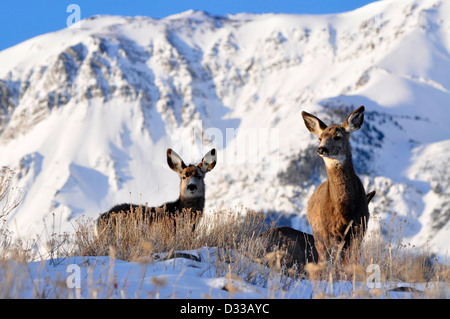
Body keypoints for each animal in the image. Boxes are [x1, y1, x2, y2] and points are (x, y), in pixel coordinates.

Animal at [300, 106, 370, 264]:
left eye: (337, 136)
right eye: (320, 138)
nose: (321, 149)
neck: (344, 209)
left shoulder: (359, 229)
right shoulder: (329, 231)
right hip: (318, 236)